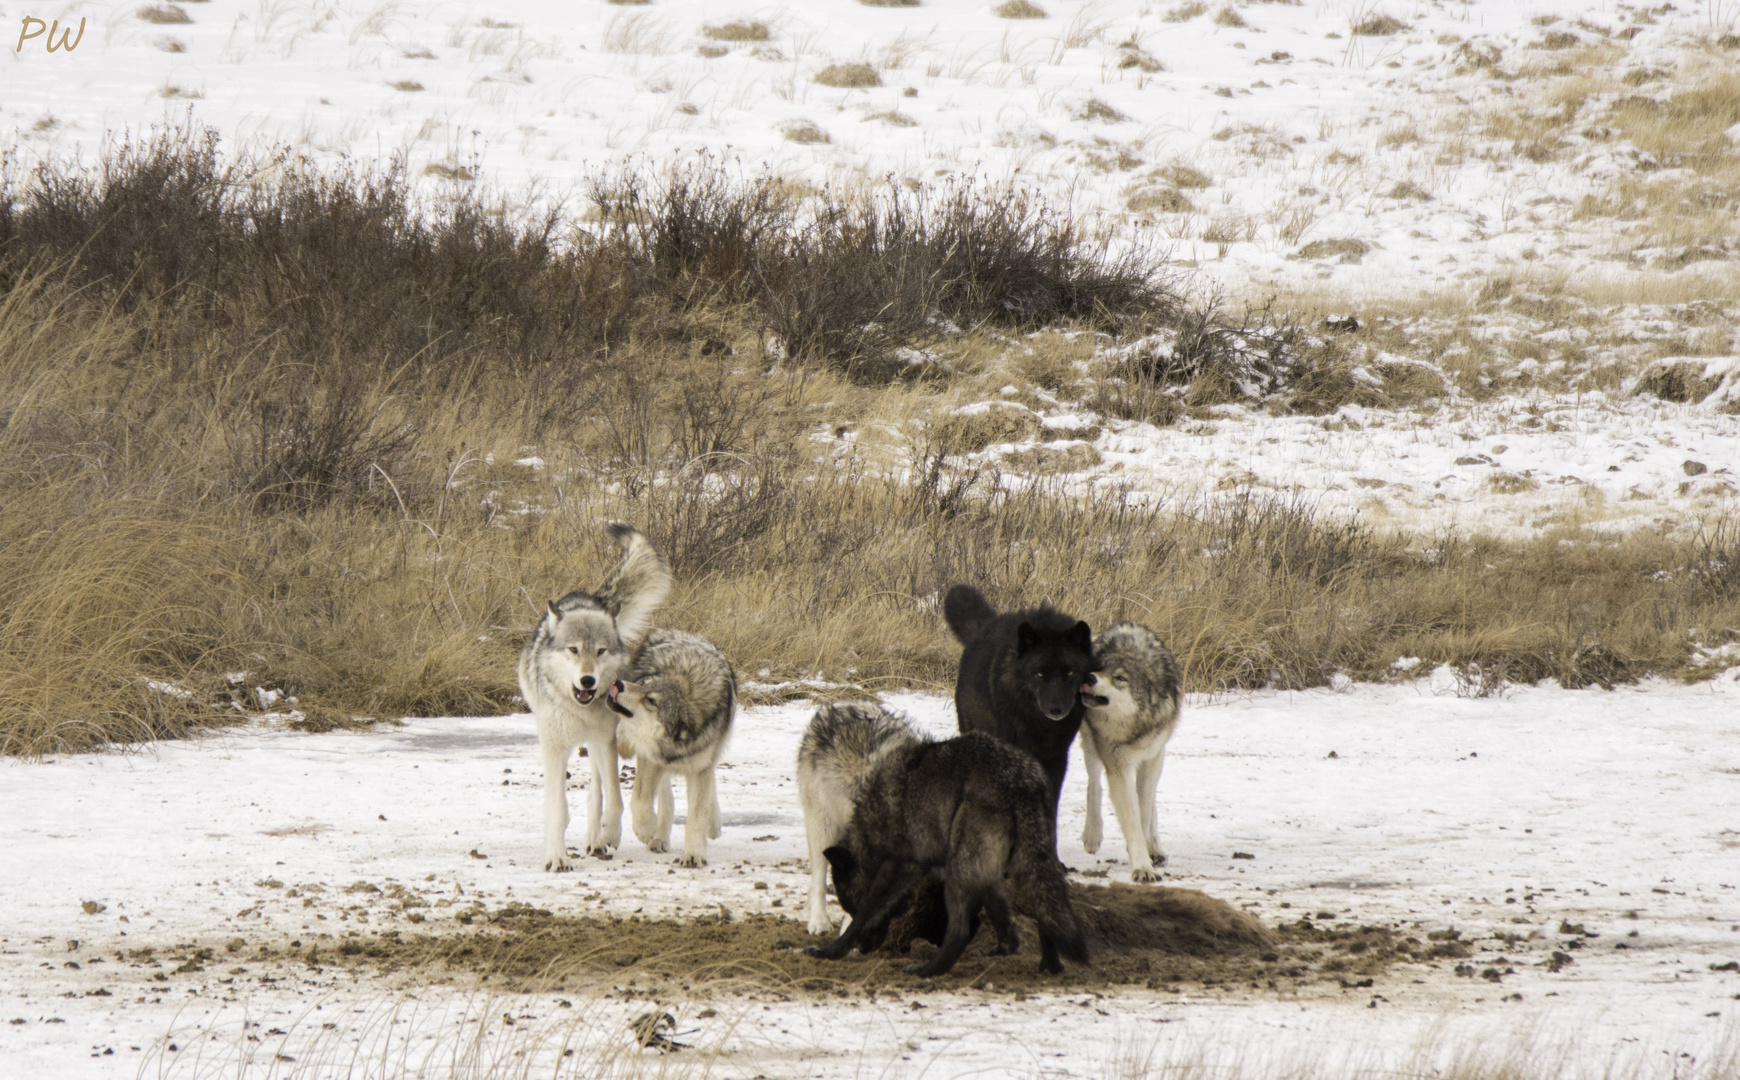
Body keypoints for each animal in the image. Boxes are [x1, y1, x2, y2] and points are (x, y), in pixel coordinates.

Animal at [511, 521, 668, 866]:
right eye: (573, 650)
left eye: (600, 651)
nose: (587, 680)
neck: (578, 709)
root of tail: (591, 598)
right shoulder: (554, 748)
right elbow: (557, 809)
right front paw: (557, 859)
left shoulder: (605, 740)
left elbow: (614, 797)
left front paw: (614, 832)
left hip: (598, 744)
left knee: (597, 792)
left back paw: (597, 839)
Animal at [803, 733, 1085, 973]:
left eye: (851, 905)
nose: (864, 950)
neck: (872, 824)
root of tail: (1022, 783)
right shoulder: (989, 876)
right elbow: (1001, 916)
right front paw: (1007, 947)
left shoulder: (901, 866)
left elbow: (865, 915)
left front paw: (828, 952)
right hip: (1023, 865)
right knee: (1045, 913)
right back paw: (1051, 966)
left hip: (957, 873)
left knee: (959, 932)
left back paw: (927, 971)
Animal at [946, 584, 1092, 813]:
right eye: (1040, 674)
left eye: (1070, 673)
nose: (1056, 710)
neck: (1041, 725)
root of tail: (985, 626)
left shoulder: (1056, 757)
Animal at [1078, 619, 1190, 880]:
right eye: (1100, 668)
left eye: (1120, 677)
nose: (1089, 676)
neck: (1134, 729)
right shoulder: (1118, 766)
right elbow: (1132, 819)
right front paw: (1142, 866)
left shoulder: (1151, 759)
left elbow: (1144, 812)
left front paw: (1145, 855)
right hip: (1091, 746)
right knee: (1094, 784)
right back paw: (1092, 836)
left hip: (1157, 757)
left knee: (1151, 802)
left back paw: (1155, 848)